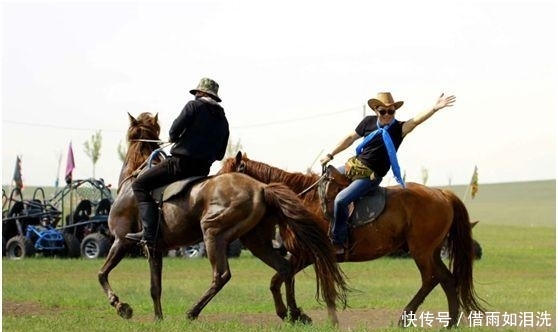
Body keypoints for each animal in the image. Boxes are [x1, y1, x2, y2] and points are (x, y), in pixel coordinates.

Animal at [98, 113, 348, 324]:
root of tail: (262, 188)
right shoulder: (154, 249)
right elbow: (155, 287)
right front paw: (158, 319)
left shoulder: (121, 241)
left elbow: (102, 274)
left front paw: (121, 306)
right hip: (256, 242)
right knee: (285, 268)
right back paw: (294, 314)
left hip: (213, 235)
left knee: (221, 275)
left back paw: (192, 312)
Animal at [219, 152, 486, 326]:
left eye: (224, 176)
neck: (300, 200)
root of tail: (442, 193)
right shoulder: (302, 256)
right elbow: (277, 280)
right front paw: (292, 314)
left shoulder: (315, 255)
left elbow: (324, 290)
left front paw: (325, 320)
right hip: (432, 251)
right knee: (447, 280)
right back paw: (450, 323)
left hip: (421, 252)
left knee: (431, 279)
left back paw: (405, 317)